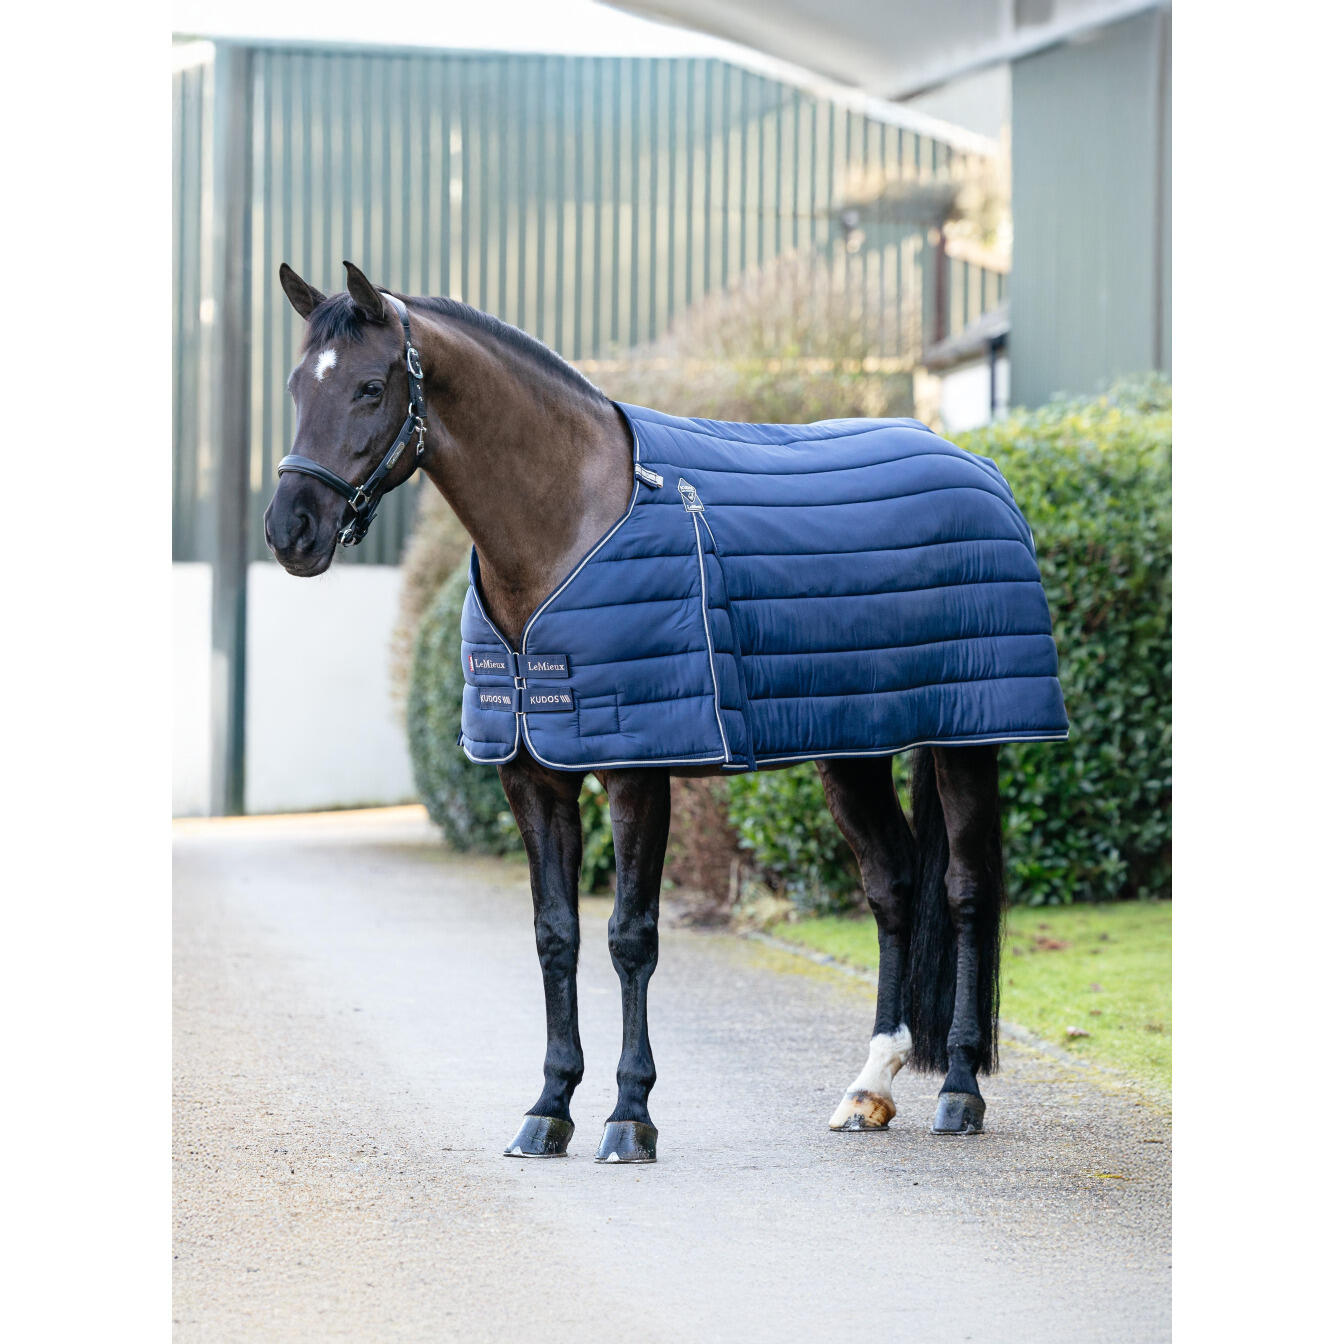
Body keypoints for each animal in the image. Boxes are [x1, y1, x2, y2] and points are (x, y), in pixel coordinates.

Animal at [265, 260, 1049, 1164]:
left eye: (369, 386)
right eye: (297, 385)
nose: (290, 530)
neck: (569, 521)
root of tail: (977, 465)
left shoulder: (636, 773)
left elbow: (629, 937)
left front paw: (628, 1116)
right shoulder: (533, 776)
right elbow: (556, 935)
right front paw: (548, 1108)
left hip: (969, 738)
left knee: (964, 891)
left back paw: (959, 1090)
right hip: (851, 750)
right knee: (892, 885)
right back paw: (869, 1087)